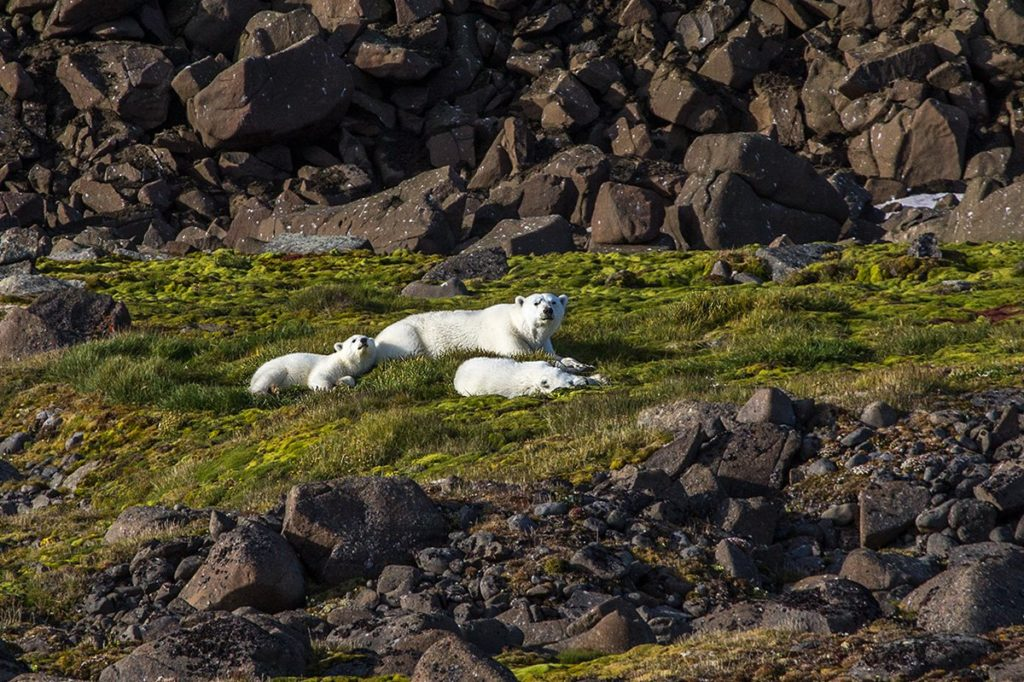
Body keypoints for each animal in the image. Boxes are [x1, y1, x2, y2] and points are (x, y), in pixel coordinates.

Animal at [249, 333, 378, 393]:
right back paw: (262, 392)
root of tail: (254, 374)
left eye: (366, 337)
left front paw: (341, 382)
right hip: (274, 369)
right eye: (353, 340)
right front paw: (331, 389)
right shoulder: (331, 365)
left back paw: (275, 390)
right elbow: (317, 376)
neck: (346, 363)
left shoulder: (355, 371)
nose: (364, 340)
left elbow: (351, 378)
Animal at [374, 288, 593, 368]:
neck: (519, 326)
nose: (548, 310)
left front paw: (579, 363)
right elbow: (521, 354)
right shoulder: (505, 333)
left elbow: (551, 353)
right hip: (406, 335)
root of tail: (377, 338)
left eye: (554, 301)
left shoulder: (543, 341)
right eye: (536, 302)